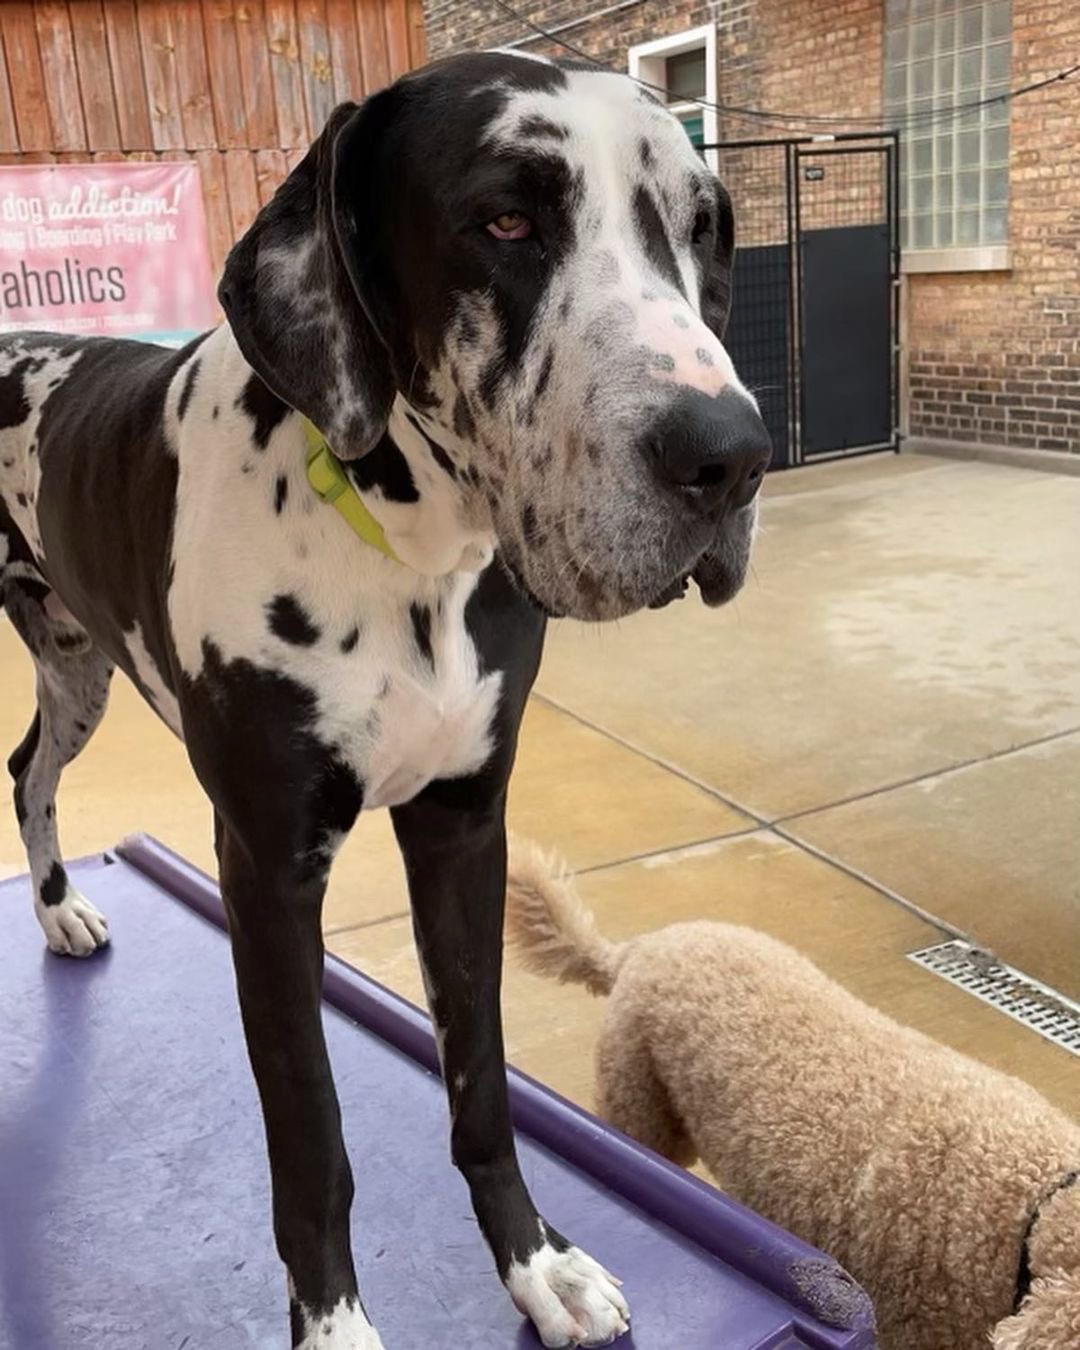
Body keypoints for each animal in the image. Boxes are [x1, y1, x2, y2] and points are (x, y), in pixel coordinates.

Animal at [0, 51, 770, 1349]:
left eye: (702, 226)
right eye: (504, 220)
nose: (728, 457)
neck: (408, 551)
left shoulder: (463, 829)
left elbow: (483, 1084)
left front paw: (537, 1262)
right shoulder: (267, 870)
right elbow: (312, 1143)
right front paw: (335, 1324)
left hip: (73, 668)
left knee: (28, 771)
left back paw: (58, 912)